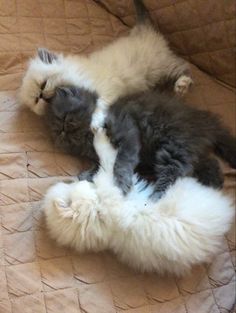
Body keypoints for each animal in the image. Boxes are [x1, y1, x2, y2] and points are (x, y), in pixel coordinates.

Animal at [42, 126, 234, 272]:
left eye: (72, 184)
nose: (76, 178)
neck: (96, 212)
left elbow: (107, 160)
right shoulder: (112, 185)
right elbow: (108, 159)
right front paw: (100, 136)